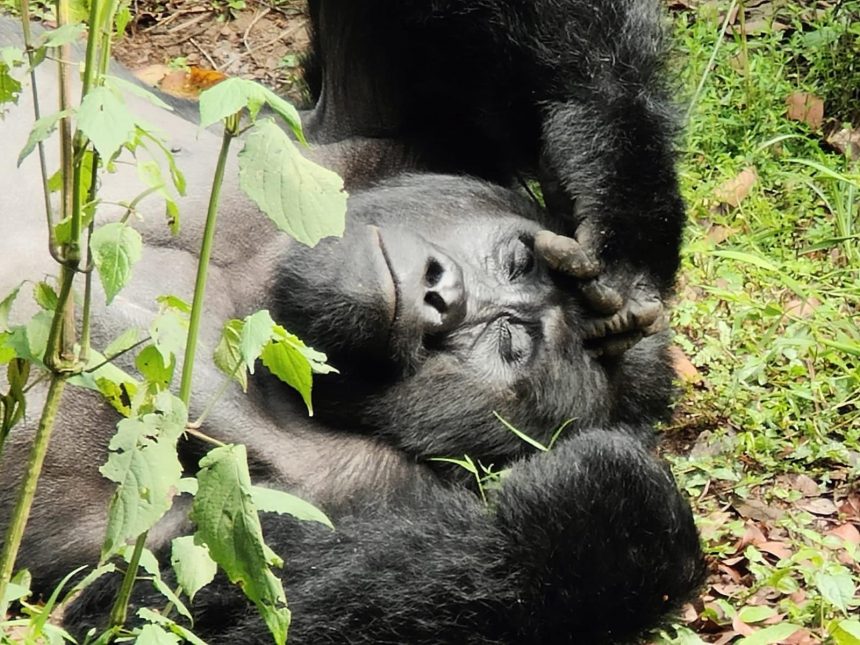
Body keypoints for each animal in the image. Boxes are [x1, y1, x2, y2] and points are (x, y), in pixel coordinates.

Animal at [0, 1, 704, 644]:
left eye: (507, 342)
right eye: (516, 260)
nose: (441, 295)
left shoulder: (345, 485)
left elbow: (177, 601)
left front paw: (603, 505)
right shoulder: (396, 138)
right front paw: (622, 216)